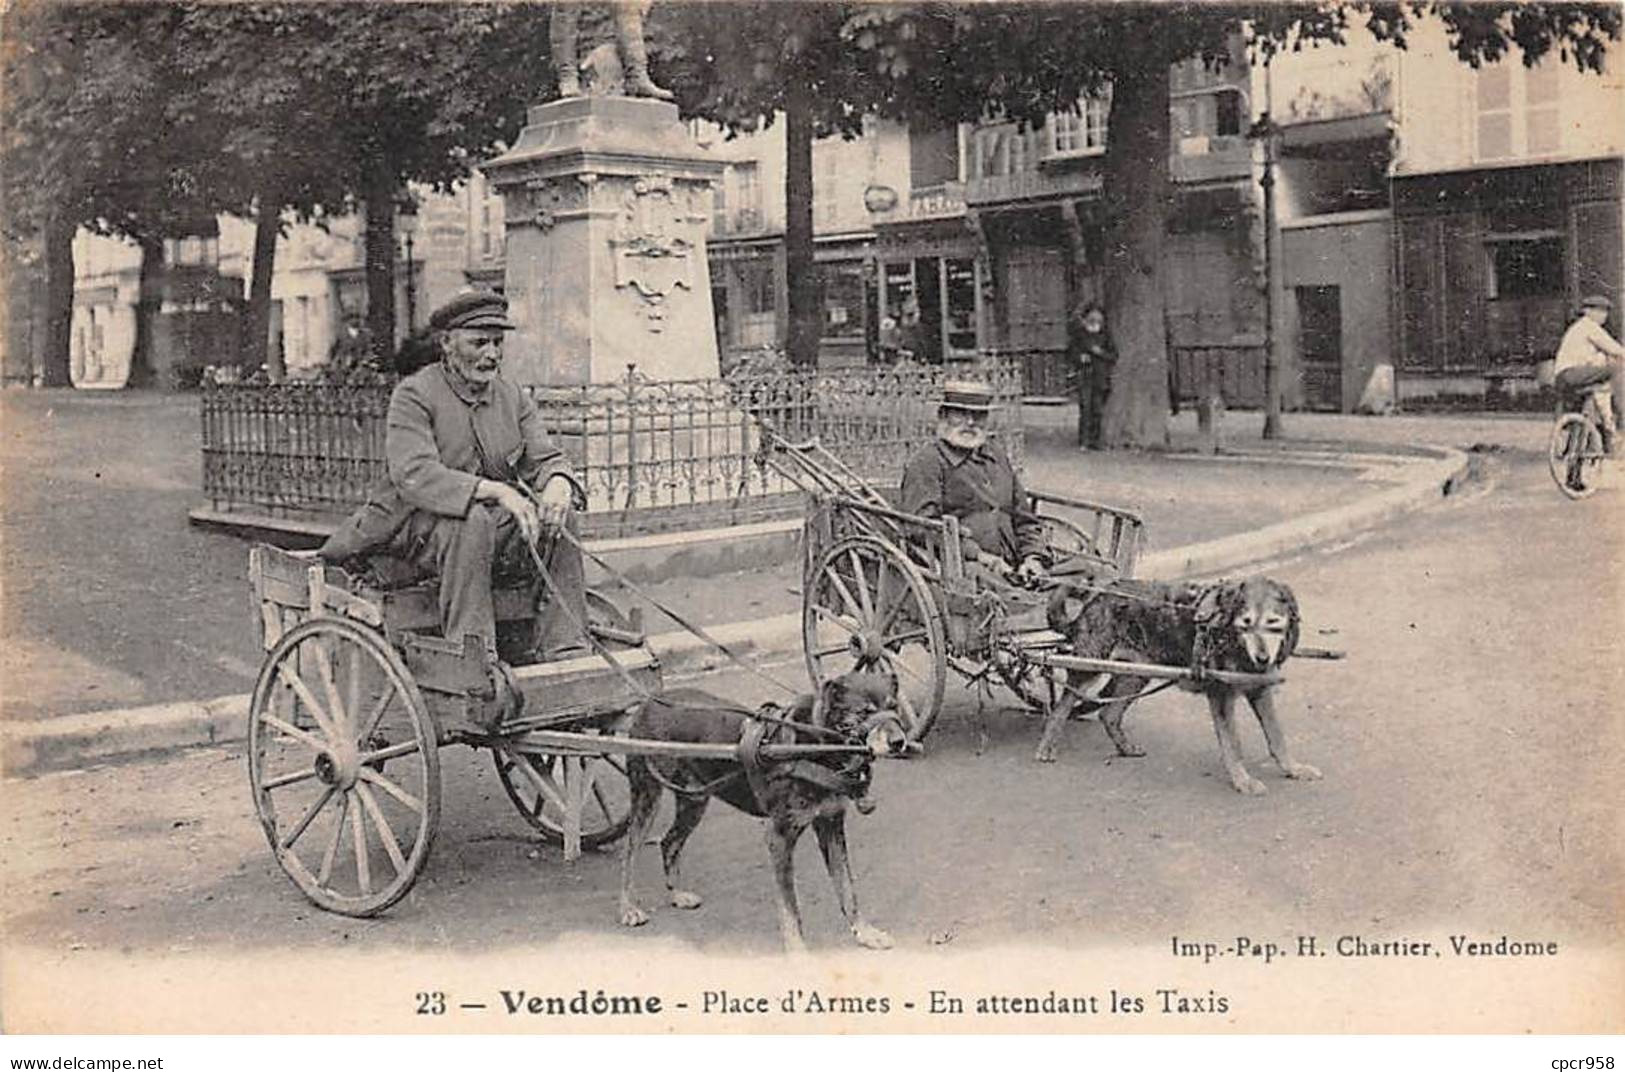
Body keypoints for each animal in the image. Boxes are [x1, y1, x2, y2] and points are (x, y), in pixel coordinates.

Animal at [614, 675, 910, 948]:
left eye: (894, 707)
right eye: (864, 712)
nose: (899, 742)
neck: (816, 744)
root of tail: (648, 703)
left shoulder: (831, 824)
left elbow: (847, 887)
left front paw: (865, 932)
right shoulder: (779, 837)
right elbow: (790, 909)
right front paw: (798, 953)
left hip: (694, 800)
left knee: (669, 841)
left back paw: (677, 894)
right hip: (646, 794)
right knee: (630, 850)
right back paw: (628, 907)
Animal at [1040, 578, 1319, 795]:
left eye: (1274, 623)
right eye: (1245, 623)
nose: (1262, 658)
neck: (1230, 638)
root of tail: (1097, 597)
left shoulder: (1260, 691)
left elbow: (1277, 736)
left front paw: (1293, 769)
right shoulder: (1221, 695)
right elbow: (1233, 745)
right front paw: (1243, 782)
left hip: (1135, 675)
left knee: (1108, 714)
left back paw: (1126, 748)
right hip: (1088, 667)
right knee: (1060, 708)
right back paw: (1046, 747)